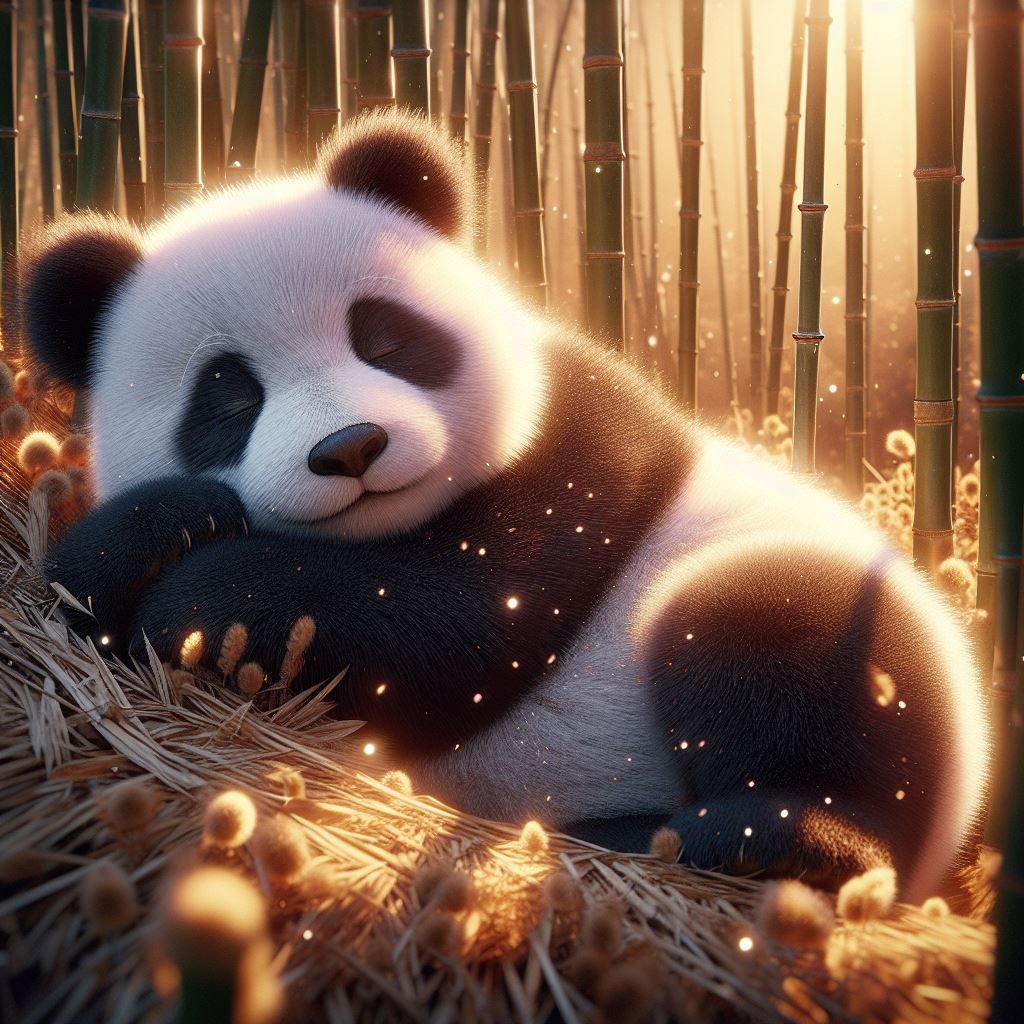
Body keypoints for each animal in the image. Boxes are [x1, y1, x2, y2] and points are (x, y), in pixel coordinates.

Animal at [20, 111, 986, 902]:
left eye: (384, 338)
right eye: (227, 393)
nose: (352, 448)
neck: (381, 530)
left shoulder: (578, 441)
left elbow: (465, 613)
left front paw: (204, 600)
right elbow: (72, 595)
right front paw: (173, 522)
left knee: (774, 631)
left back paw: (778, 836)